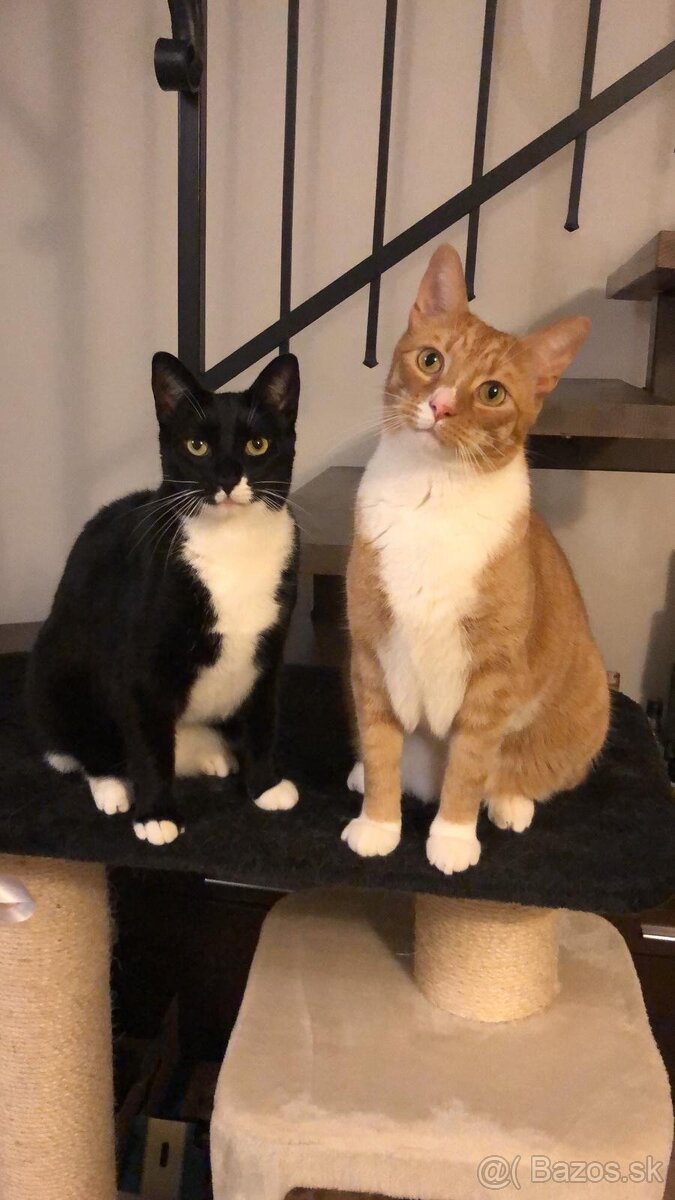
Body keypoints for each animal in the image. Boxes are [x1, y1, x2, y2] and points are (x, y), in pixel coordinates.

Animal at [27, 351, 301, 845]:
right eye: (197, 446)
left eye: (257, 445)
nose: (228, 479)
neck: (233, 547)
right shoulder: (141, 667)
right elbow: (149, 744)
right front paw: (156, 814)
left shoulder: (269, 653)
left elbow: (262, 719)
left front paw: (264, 785)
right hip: (59, 669)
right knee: (83, 747)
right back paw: (112, 785)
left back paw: (209, 753)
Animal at [343, 243, 609, 875]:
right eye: (431, 360)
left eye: (492, 393)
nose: (440, 406)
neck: (433, 496)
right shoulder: (371, 650)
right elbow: (381, 741)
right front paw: (379, 821)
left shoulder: (492, 674)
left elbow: (469, 763)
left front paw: (453, 837)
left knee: (517, 773)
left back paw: (510, 802)